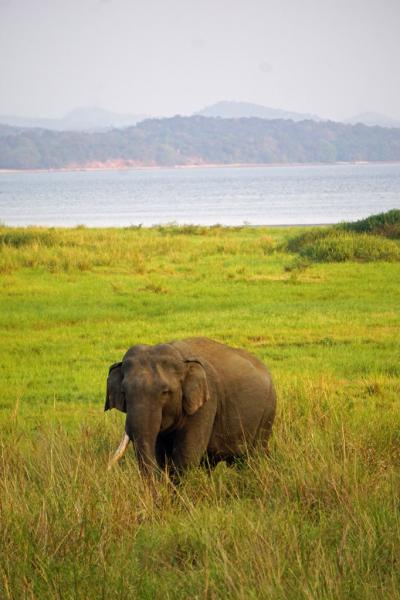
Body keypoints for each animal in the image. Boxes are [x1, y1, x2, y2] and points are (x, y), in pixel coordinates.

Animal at [104, 336, 276, 476]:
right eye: (124, 392)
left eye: (165, 392)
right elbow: (162, 456)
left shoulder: (206, 403)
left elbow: (187, 455)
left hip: (267, 412)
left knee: (254, 456)